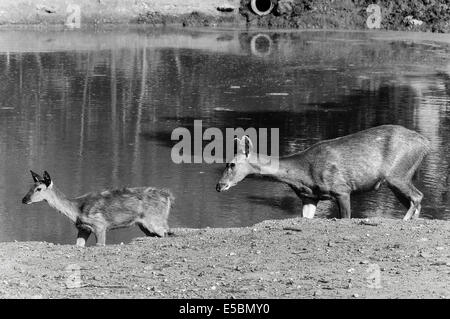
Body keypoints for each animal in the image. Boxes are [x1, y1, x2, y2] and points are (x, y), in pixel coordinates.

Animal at [22, 171, 174, 246]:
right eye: (30, 186)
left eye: (39, 189)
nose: (24, 200)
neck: (76, 210)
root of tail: (168, 196)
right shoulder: (84, 228)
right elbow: (78, 244)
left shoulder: (100, 225)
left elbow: (100, 244)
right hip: (145, 226)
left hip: (155, 220)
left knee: (167, 233)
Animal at [216, 126, 430, 221]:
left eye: (231, 164)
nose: (219, 185)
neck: (302, 175)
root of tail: (425, 143)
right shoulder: (309, 197)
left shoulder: (342, 189)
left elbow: (346, 217)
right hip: (399, 179)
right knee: (415, 199)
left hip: (397, 173)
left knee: (417, 196)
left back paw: (405, 220)